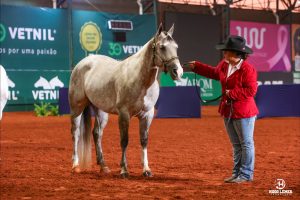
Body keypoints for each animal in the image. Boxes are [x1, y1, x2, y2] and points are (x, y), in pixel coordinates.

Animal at [69, 24, 184, 177]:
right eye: (162, 47)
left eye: (176, 46)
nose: (178, 71)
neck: (141, 80)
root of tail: (82, 63)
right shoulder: (124, 114)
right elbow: (124, 140)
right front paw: (124, 169)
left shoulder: (147, 115)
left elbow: (144, 140)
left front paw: (146, 169)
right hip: (77, 108)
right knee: (75, 133)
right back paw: (75, 165)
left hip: (101, 111)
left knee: (97, 134)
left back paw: (103, 166)